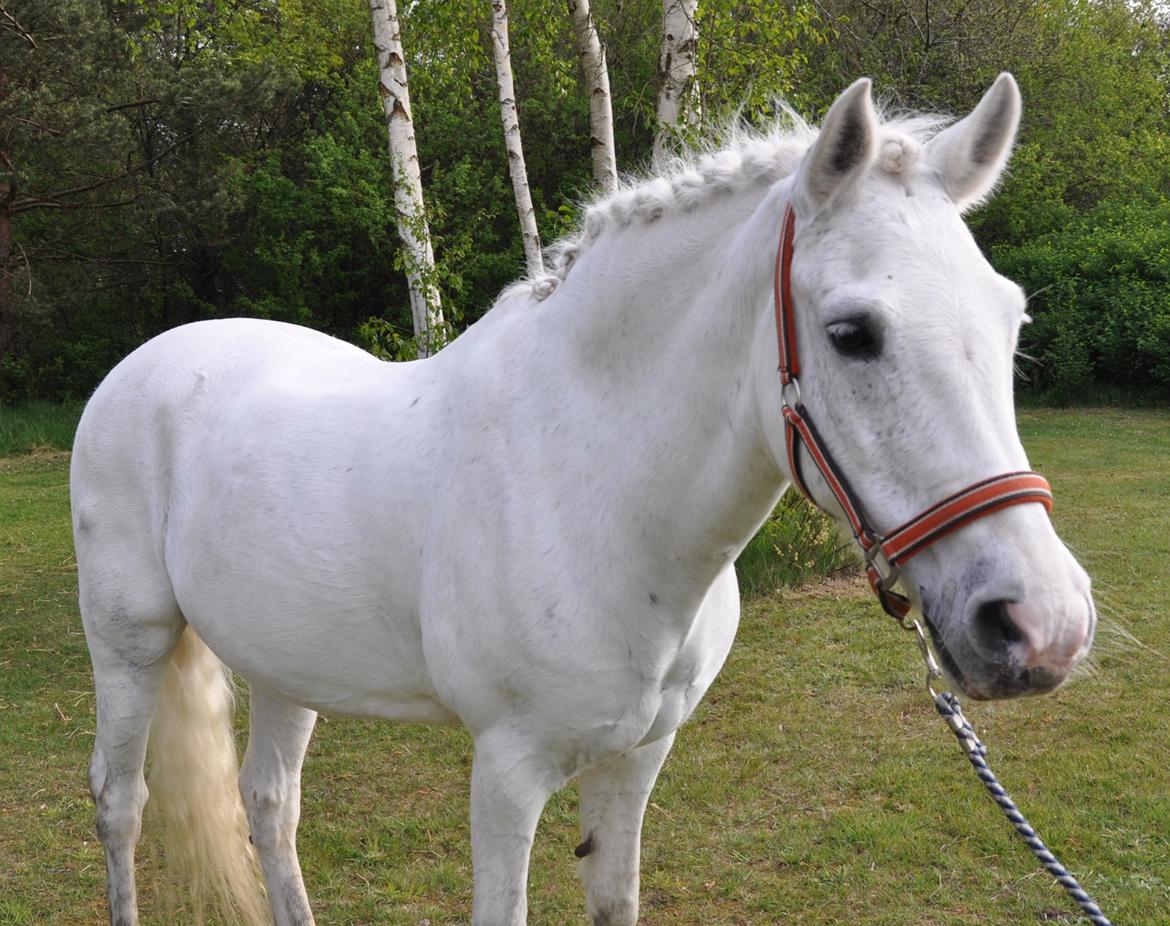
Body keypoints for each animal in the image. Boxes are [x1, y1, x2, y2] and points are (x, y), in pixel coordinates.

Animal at [73, 76, 1095, 926]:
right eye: (852, 332)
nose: (1042, 625)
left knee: (268, 805)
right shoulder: (507, 771)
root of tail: (151, 362)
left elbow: (615, 898)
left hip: (286, 664)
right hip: (129, 648)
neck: (593, 489)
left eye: (1012, 320)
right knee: (121, 806)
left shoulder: (637, 758)